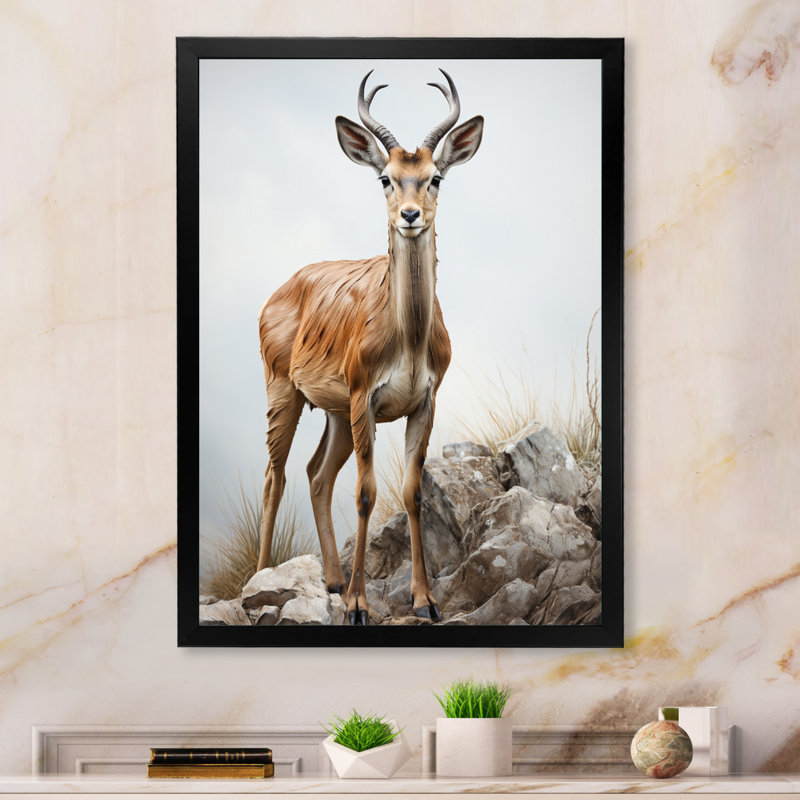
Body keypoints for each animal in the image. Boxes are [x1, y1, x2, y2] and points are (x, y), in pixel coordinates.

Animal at [257, 69, 483, 625]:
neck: (408, 339)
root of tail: (279, 291)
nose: (410, 215)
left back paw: (335, 581)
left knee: (316, 475)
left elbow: (412, 493)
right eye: (385, 177)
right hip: (284, 394)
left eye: (435, 176)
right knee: (276, 475)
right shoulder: (366, 398)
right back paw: (267, 577)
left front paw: (425, 602)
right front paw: (360, 606)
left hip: (335, 413)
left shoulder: (422, 403)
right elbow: (364, 493)